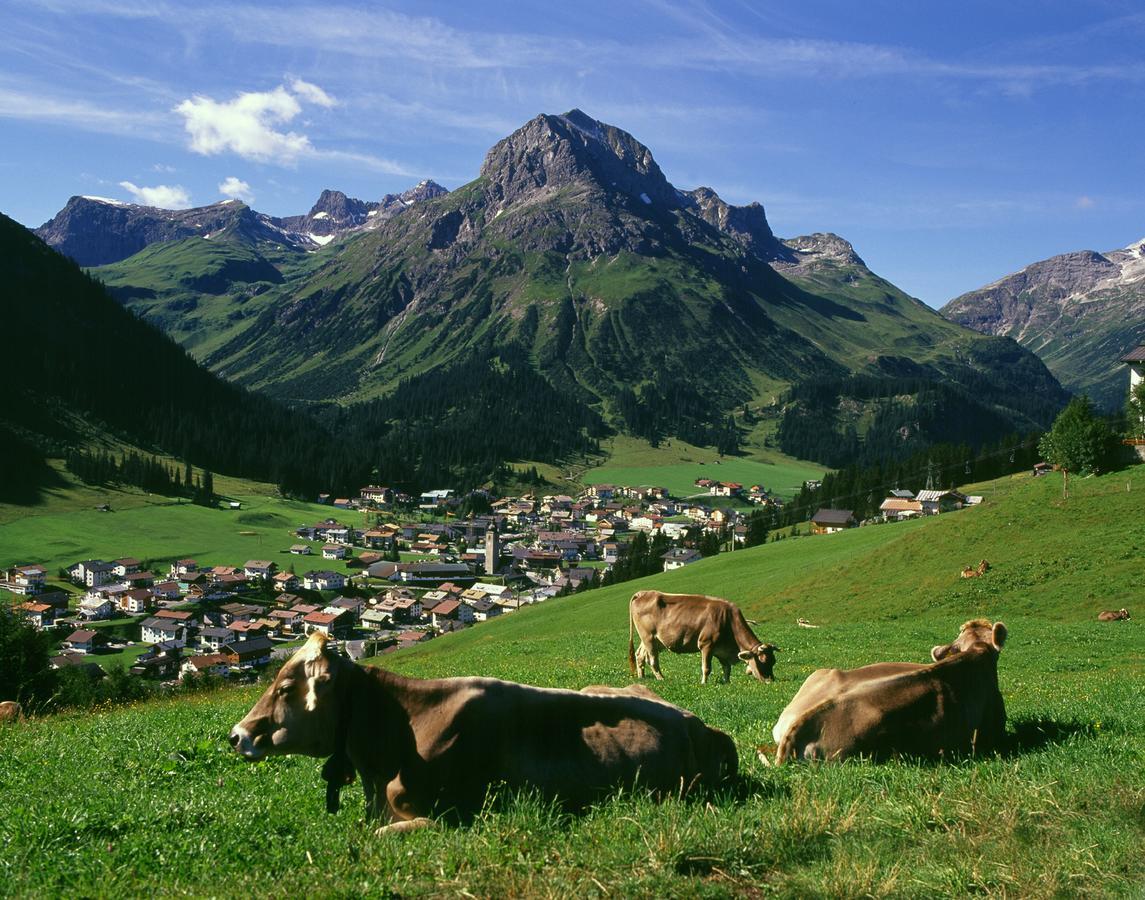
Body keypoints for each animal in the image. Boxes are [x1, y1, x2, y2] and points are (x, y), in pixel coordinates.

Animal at [627, 590, 778, 682]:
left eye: (773, 662)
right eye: (763, 661)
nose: (770, 680)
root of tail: (643, 593)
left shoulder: (721, 649)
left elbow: (727, 668)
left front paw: (727, 682)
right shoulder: (706, 644)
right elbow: (706, 668)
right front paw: (704, 683)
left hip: (652, 640)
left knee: (640, 655)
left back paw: (642, 677)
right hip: (648, 637)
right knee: (652, 660)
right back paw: (661, 678)